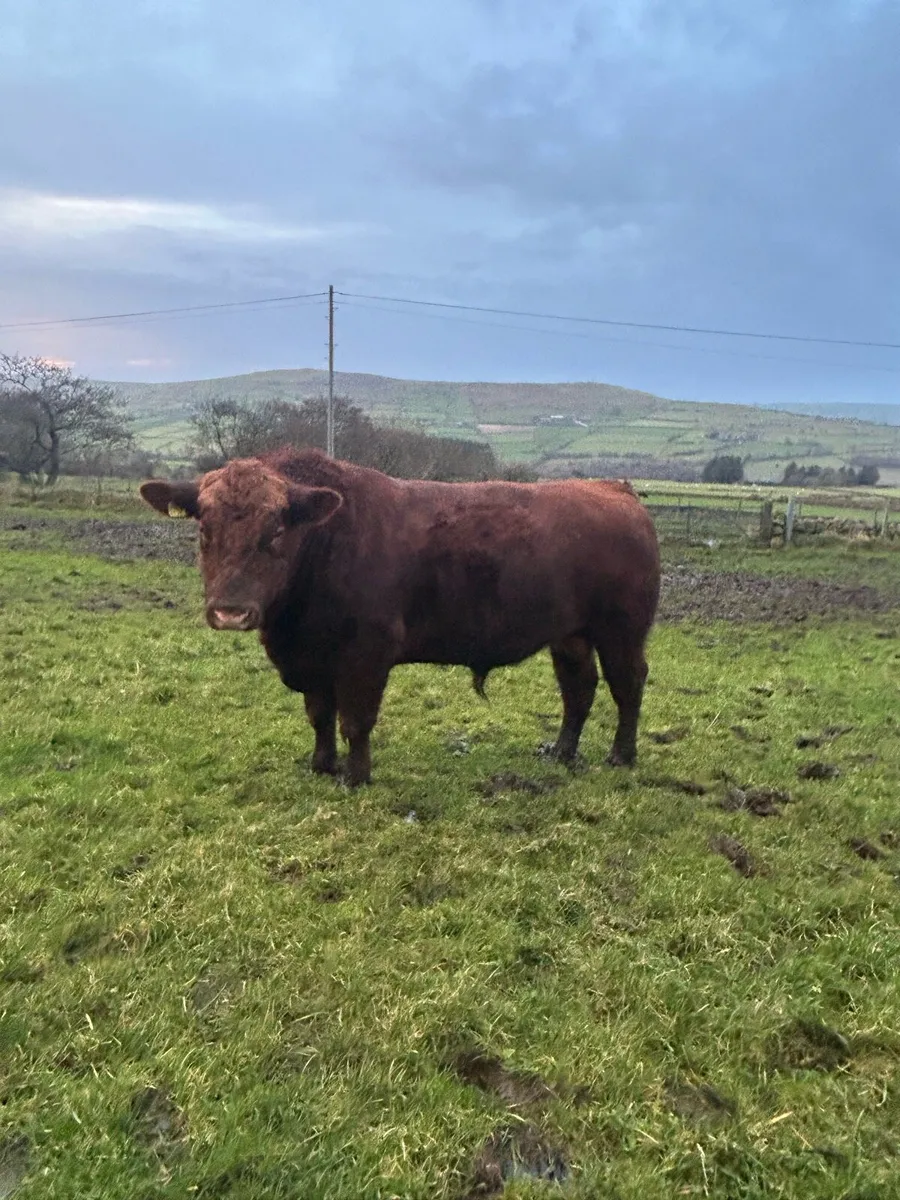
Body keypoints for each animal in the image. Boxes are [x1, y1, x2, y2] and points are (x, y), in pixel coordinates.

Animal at [140, 447, 660, 787]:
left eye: (277, 530)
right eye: (203, 529)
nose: (230, 611)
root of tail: (611, 488)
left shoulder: (366, 654)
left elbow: (355, 720)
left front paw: (356, 777)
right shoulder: (313, 659)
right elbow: (319, 715)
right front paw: (322, 765)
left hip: (621, 631)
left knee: (627, 685)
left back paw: (621, 755)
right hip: (570, 635)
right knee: (579, 689)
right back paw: (561, 752)